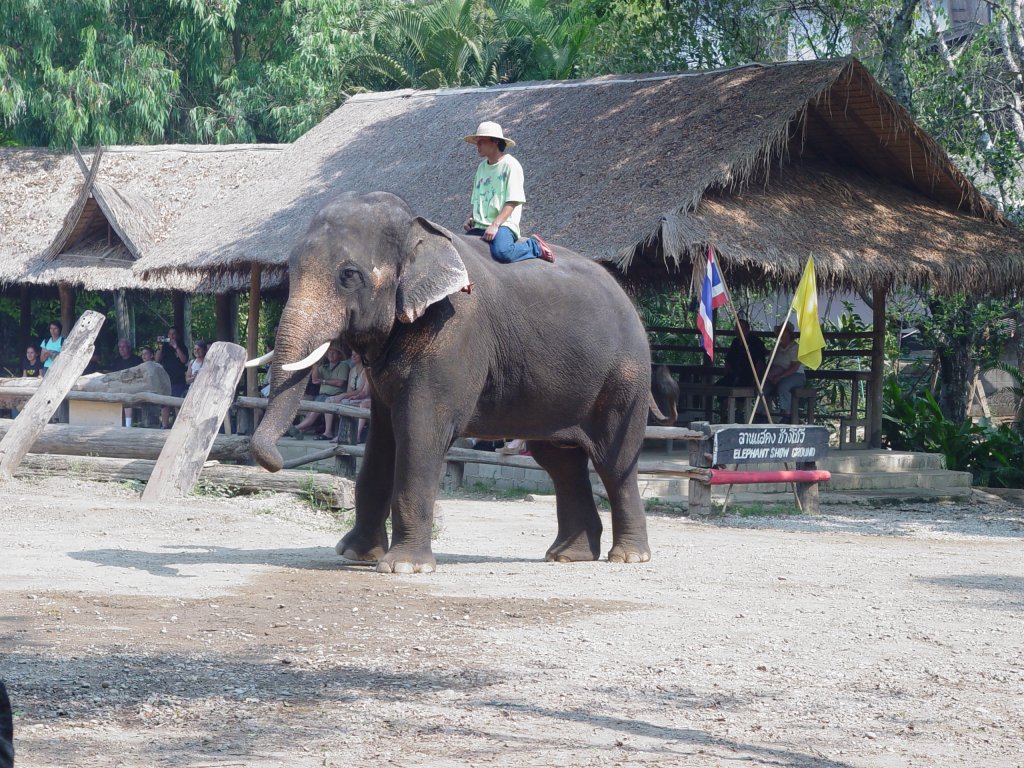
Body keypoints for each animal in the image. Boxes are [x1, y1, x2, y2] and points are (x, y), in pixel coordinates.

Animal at [251, 192, 667, 573]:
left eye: (349, 275)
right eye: (289, 269)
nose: (275, 461)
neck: (419, 230)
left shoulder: (452, 332)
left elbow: (419, 430)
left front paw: (403, 568)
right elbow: (382, 438)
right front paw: (355, 554)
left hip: (625, 378)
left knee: (613, 461)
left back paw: (628, 557)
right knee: (560, 462)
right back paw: (567, 556)